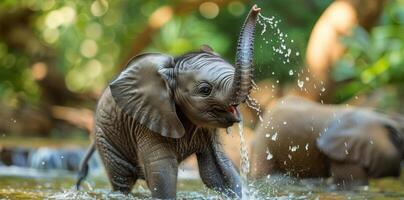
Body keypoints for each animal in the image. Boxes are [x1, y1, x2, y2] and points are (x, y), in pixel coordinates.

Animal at [76, 4, 262, 198]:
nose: (256, 8)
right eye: (205, 90)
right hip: (105, 136)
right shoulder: (147, 122)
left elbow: (219, 170)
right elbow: (162, 170)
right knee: (122, 180)